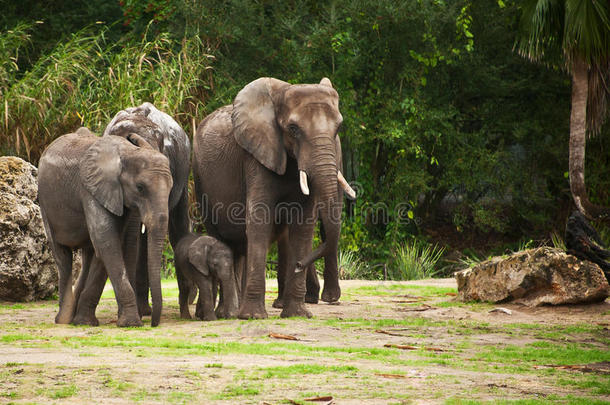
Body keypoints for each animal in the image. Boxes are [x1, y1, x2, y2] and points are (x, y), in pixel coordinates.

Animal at [192, 76, 354, 318]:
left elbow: (303, 225)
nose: (299, 265)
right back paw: (227, 313)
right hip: (201, 180)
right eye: (293, 129)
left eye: (339, 128)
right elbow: (260, 220)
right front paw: (253, 317)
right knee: (221, 238)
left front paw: (296, 314)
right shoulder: (256, 157)